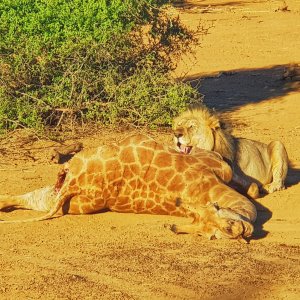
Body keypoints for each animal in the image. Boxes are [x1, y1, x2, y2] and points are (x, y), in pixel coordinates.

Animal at [1, 135, 256, 243]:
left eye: (210, 236)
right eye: (228, 225)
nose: (172, 228)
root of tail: (74, 182)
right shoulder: (219, 167)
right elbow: (250, 186)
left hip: (69, 197)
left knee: (36, 197)